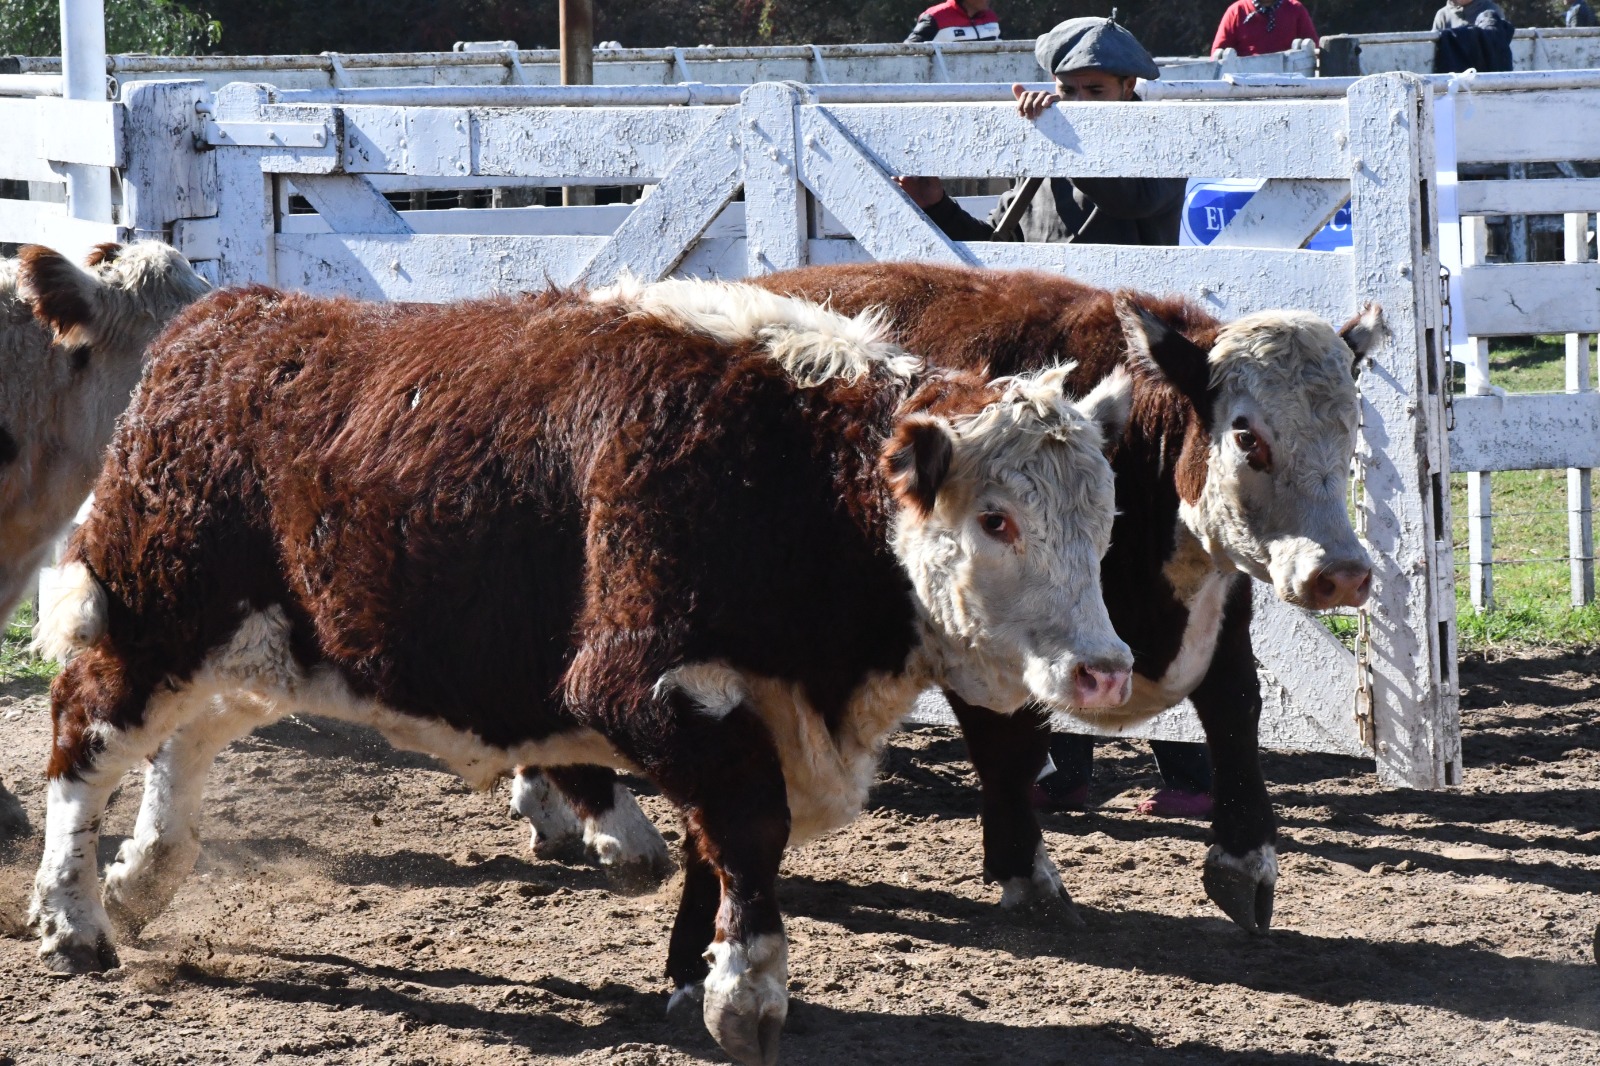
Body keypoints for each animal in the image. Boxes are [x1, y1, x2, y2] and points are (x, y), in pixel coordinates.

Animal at [31, 275, 1145, 1062]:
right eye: (995, 518)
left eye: (1103, 515)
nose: (1104, 669)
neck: (792, 475)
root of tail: (220, 324)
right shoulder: (639, 684)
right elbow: (746, 826)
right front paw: (746, 993)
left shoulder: (752, 704)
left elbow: (713, 846)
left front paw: (692, 974)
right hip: (154, 621)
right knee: (84, 733)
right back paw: (72, 916)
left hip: (267, 648)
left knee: (186, 741)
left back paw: (141, 878)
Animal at [512, 260, 1376, 934]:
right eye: (1248, 436)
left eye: (1350, 436)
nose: (1343, 572)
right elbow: (1010, 740)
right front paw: (1026, 872)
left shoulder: (1215, 605)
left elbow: (1235, 709)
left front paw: (1245, 862)